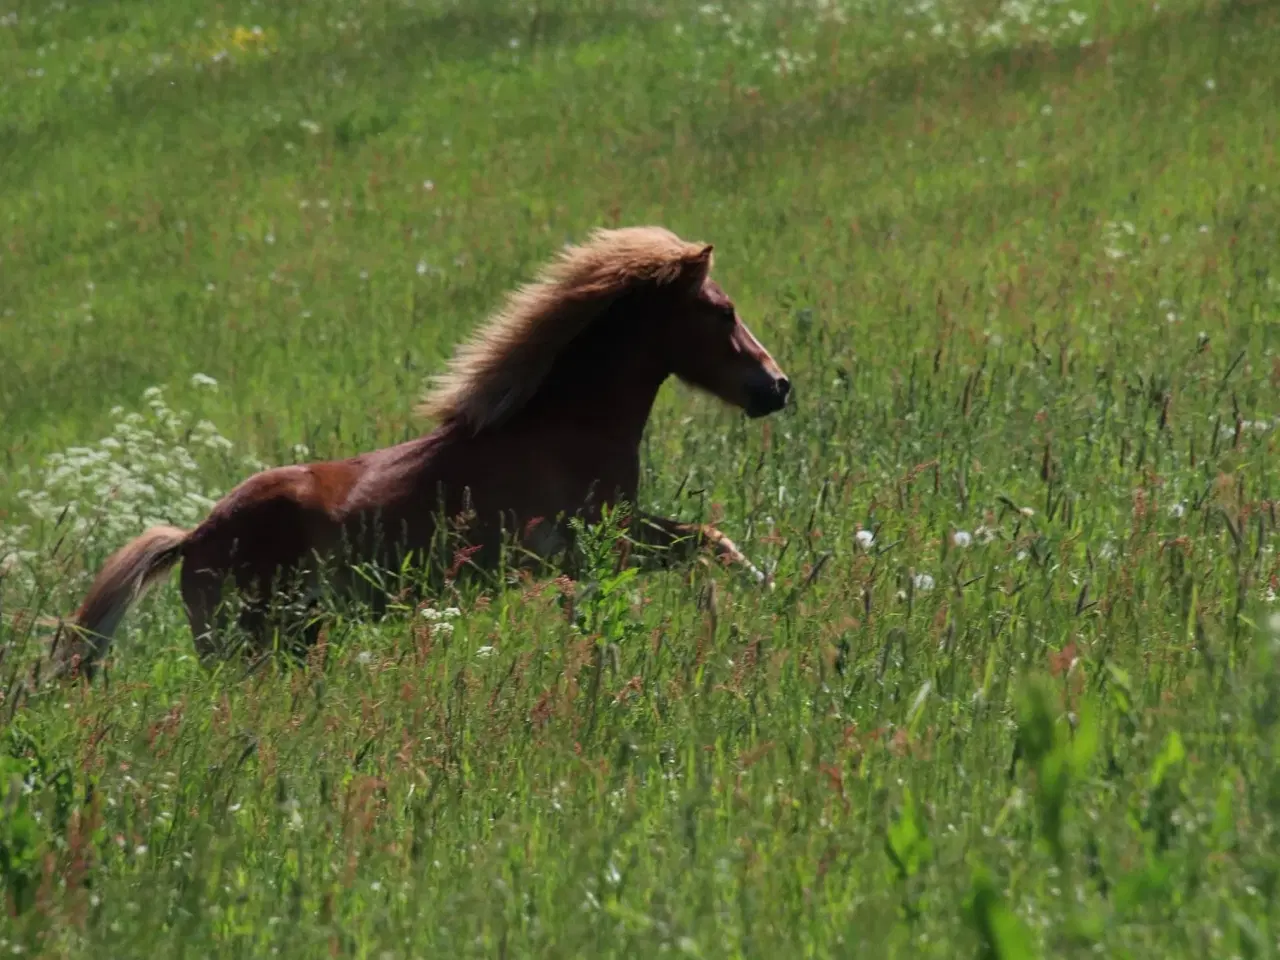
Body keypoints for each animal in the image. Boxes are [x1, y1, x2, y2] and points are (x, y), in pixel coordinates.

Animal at [60, 226, 788, 680]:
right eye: (723, 312)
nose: (777, 386)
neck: (562, 426)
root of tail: (195, 535)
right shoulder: (598, 543)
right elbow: (701, 545)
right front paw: (768, 595)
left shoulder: (611, 535)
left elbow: (707, 541)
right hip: (258, 643)